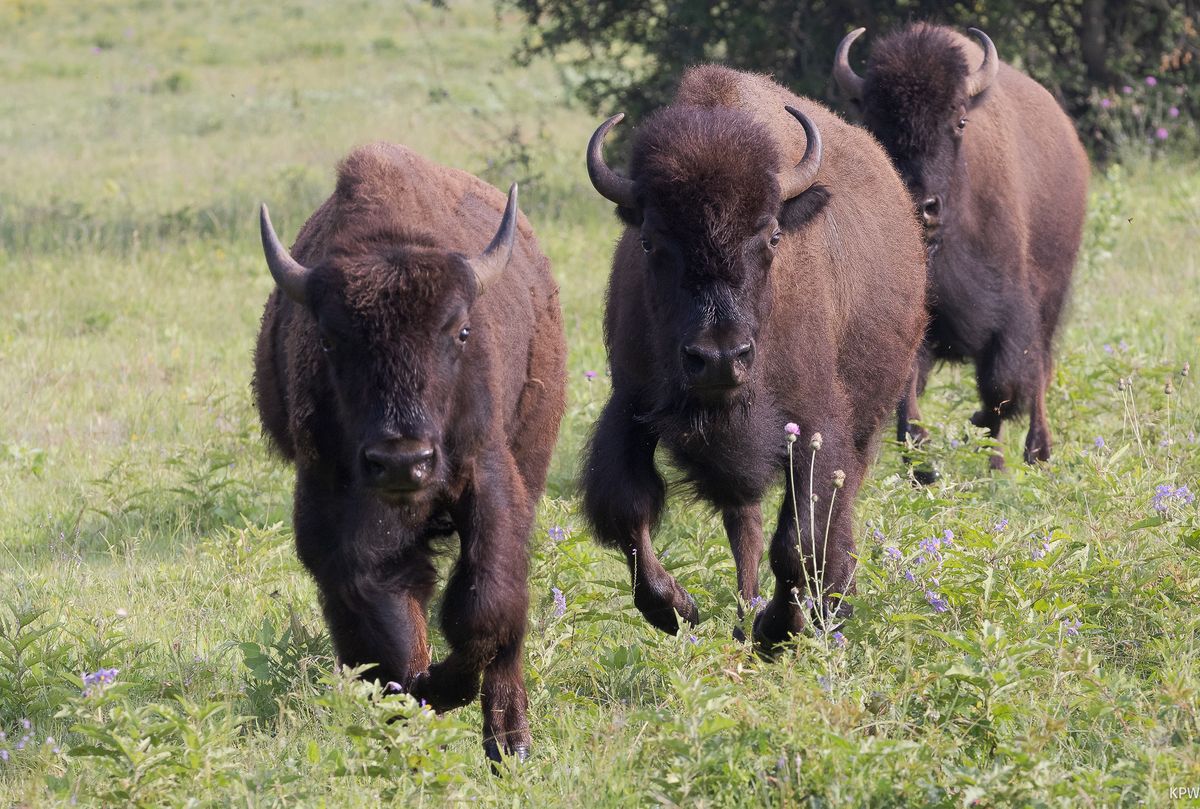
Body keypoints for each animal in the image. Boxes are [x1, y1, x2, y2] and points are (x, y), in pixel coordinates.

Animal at [249, 141, 566, 758]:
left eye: (461, 331)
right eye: (329, 339)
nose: (403, 461)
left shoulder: (487, 476)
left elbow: (487, 608)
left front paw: (457, 696)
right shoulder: (337, 519)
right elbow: (384, 622)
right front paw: (420, 698)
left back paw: (509, 741)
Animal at [580, 66, 926, 652]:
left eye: (772, 235)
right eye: (649, 241)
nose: (720, 358)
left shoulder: (814, 424)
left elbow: (800, 538)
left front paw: (779, 629)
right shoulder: (629, 407)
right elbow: (626, 509)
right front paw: (678, 609)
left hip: (866, 422)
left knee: (833, 512)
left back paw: (826, 605)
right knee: (744, 523)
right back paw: (745, 615)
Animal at [835, 23, 1089, 465]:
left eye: (960, 121)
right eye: (877, 122)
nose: (922, 206)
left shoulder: (1011, 315)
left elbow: (1004, 386)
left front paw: (984, 439)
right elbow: (909, 394)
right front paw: (923, 463)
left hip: (1051, 297)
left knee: (1040, 368)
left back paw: (1036, 452)